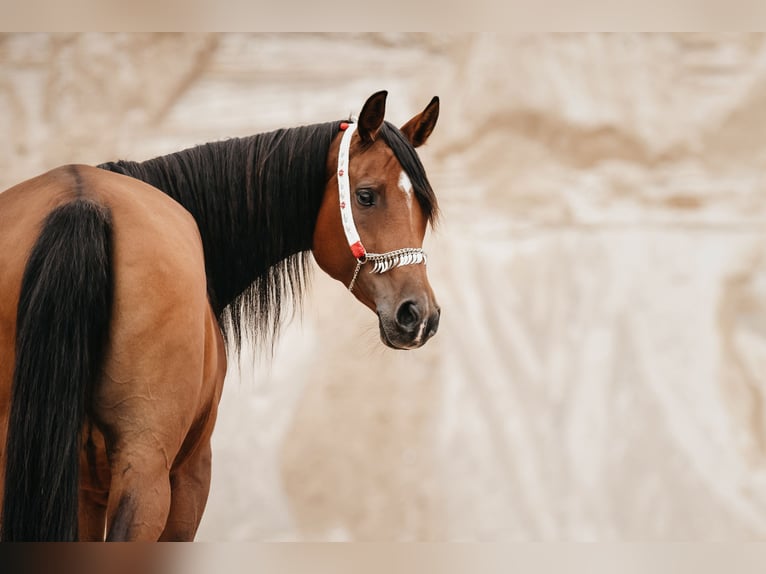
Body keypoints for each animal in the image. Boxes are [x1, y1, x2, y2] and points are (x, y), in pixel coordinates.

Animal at [0, 92, 440, 544]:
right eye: (366, 196)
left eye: (424, 208)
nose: (419, 315)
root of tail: (82, 198)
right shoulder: (191, 473)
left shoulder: (85, 490)